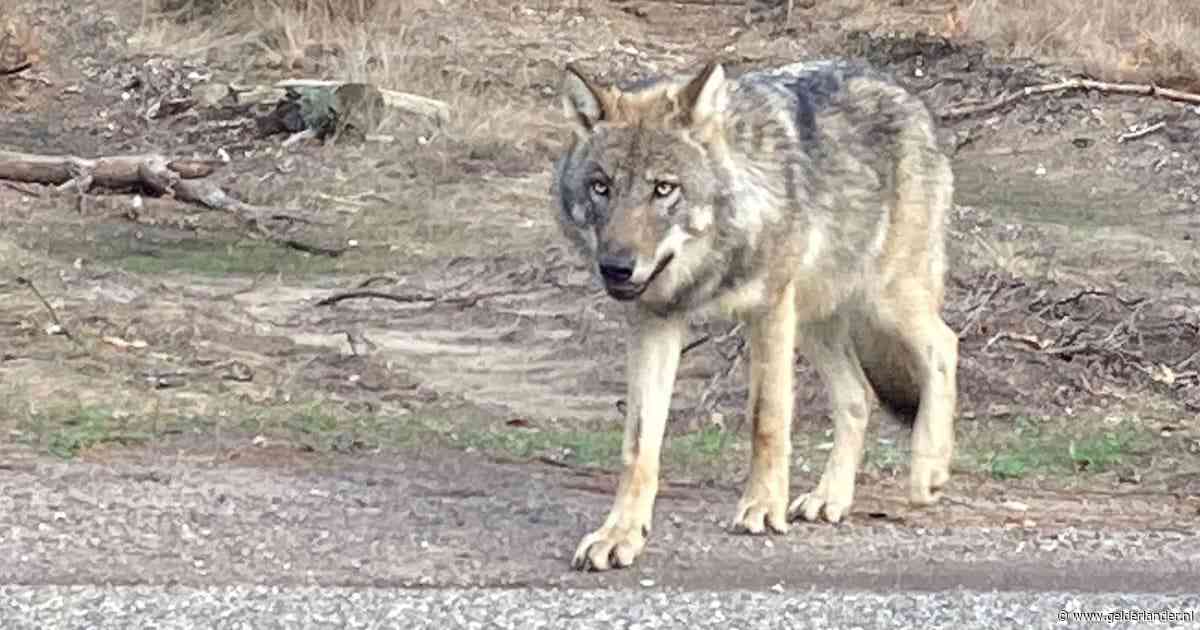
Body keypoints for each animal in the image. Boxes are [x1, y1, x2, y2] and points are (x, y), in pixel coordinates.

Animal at [550, 57, 959, 572]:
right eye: (601, 187)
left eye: (664, 189)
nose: (616, 268)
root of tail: (909, 96)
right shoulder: (653, 321)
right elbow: (639, 443)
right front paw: (621, 533)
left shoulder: (769, 308)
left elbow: (767, 417)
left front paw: (763, 508)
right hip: (817, 320)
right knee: (857, 396)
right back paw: (831, 498)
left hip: (881, 300)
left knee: (944, 345)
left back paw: (929, 471)